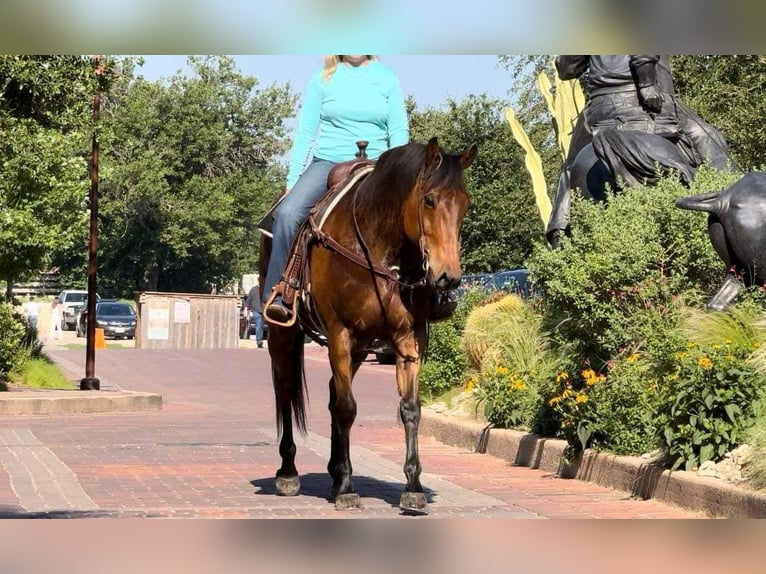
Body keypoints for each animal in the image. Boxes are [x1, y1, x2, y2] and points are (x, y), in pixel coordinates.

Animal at [258, 137, 476, 516]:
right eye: (430, 200)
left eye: (465, 203)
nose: (448, 278)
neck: (379, 249)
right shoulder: (339, 334)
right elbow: (347, 408)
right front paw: (348, 489)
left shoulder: (409, 341)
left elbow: (409, 410)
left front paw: (413, 487)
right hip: (285, 334)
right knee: (286, 391)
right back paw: (289, 471)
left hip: (359, 349)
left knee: (333, 393)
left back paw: (334, 471)